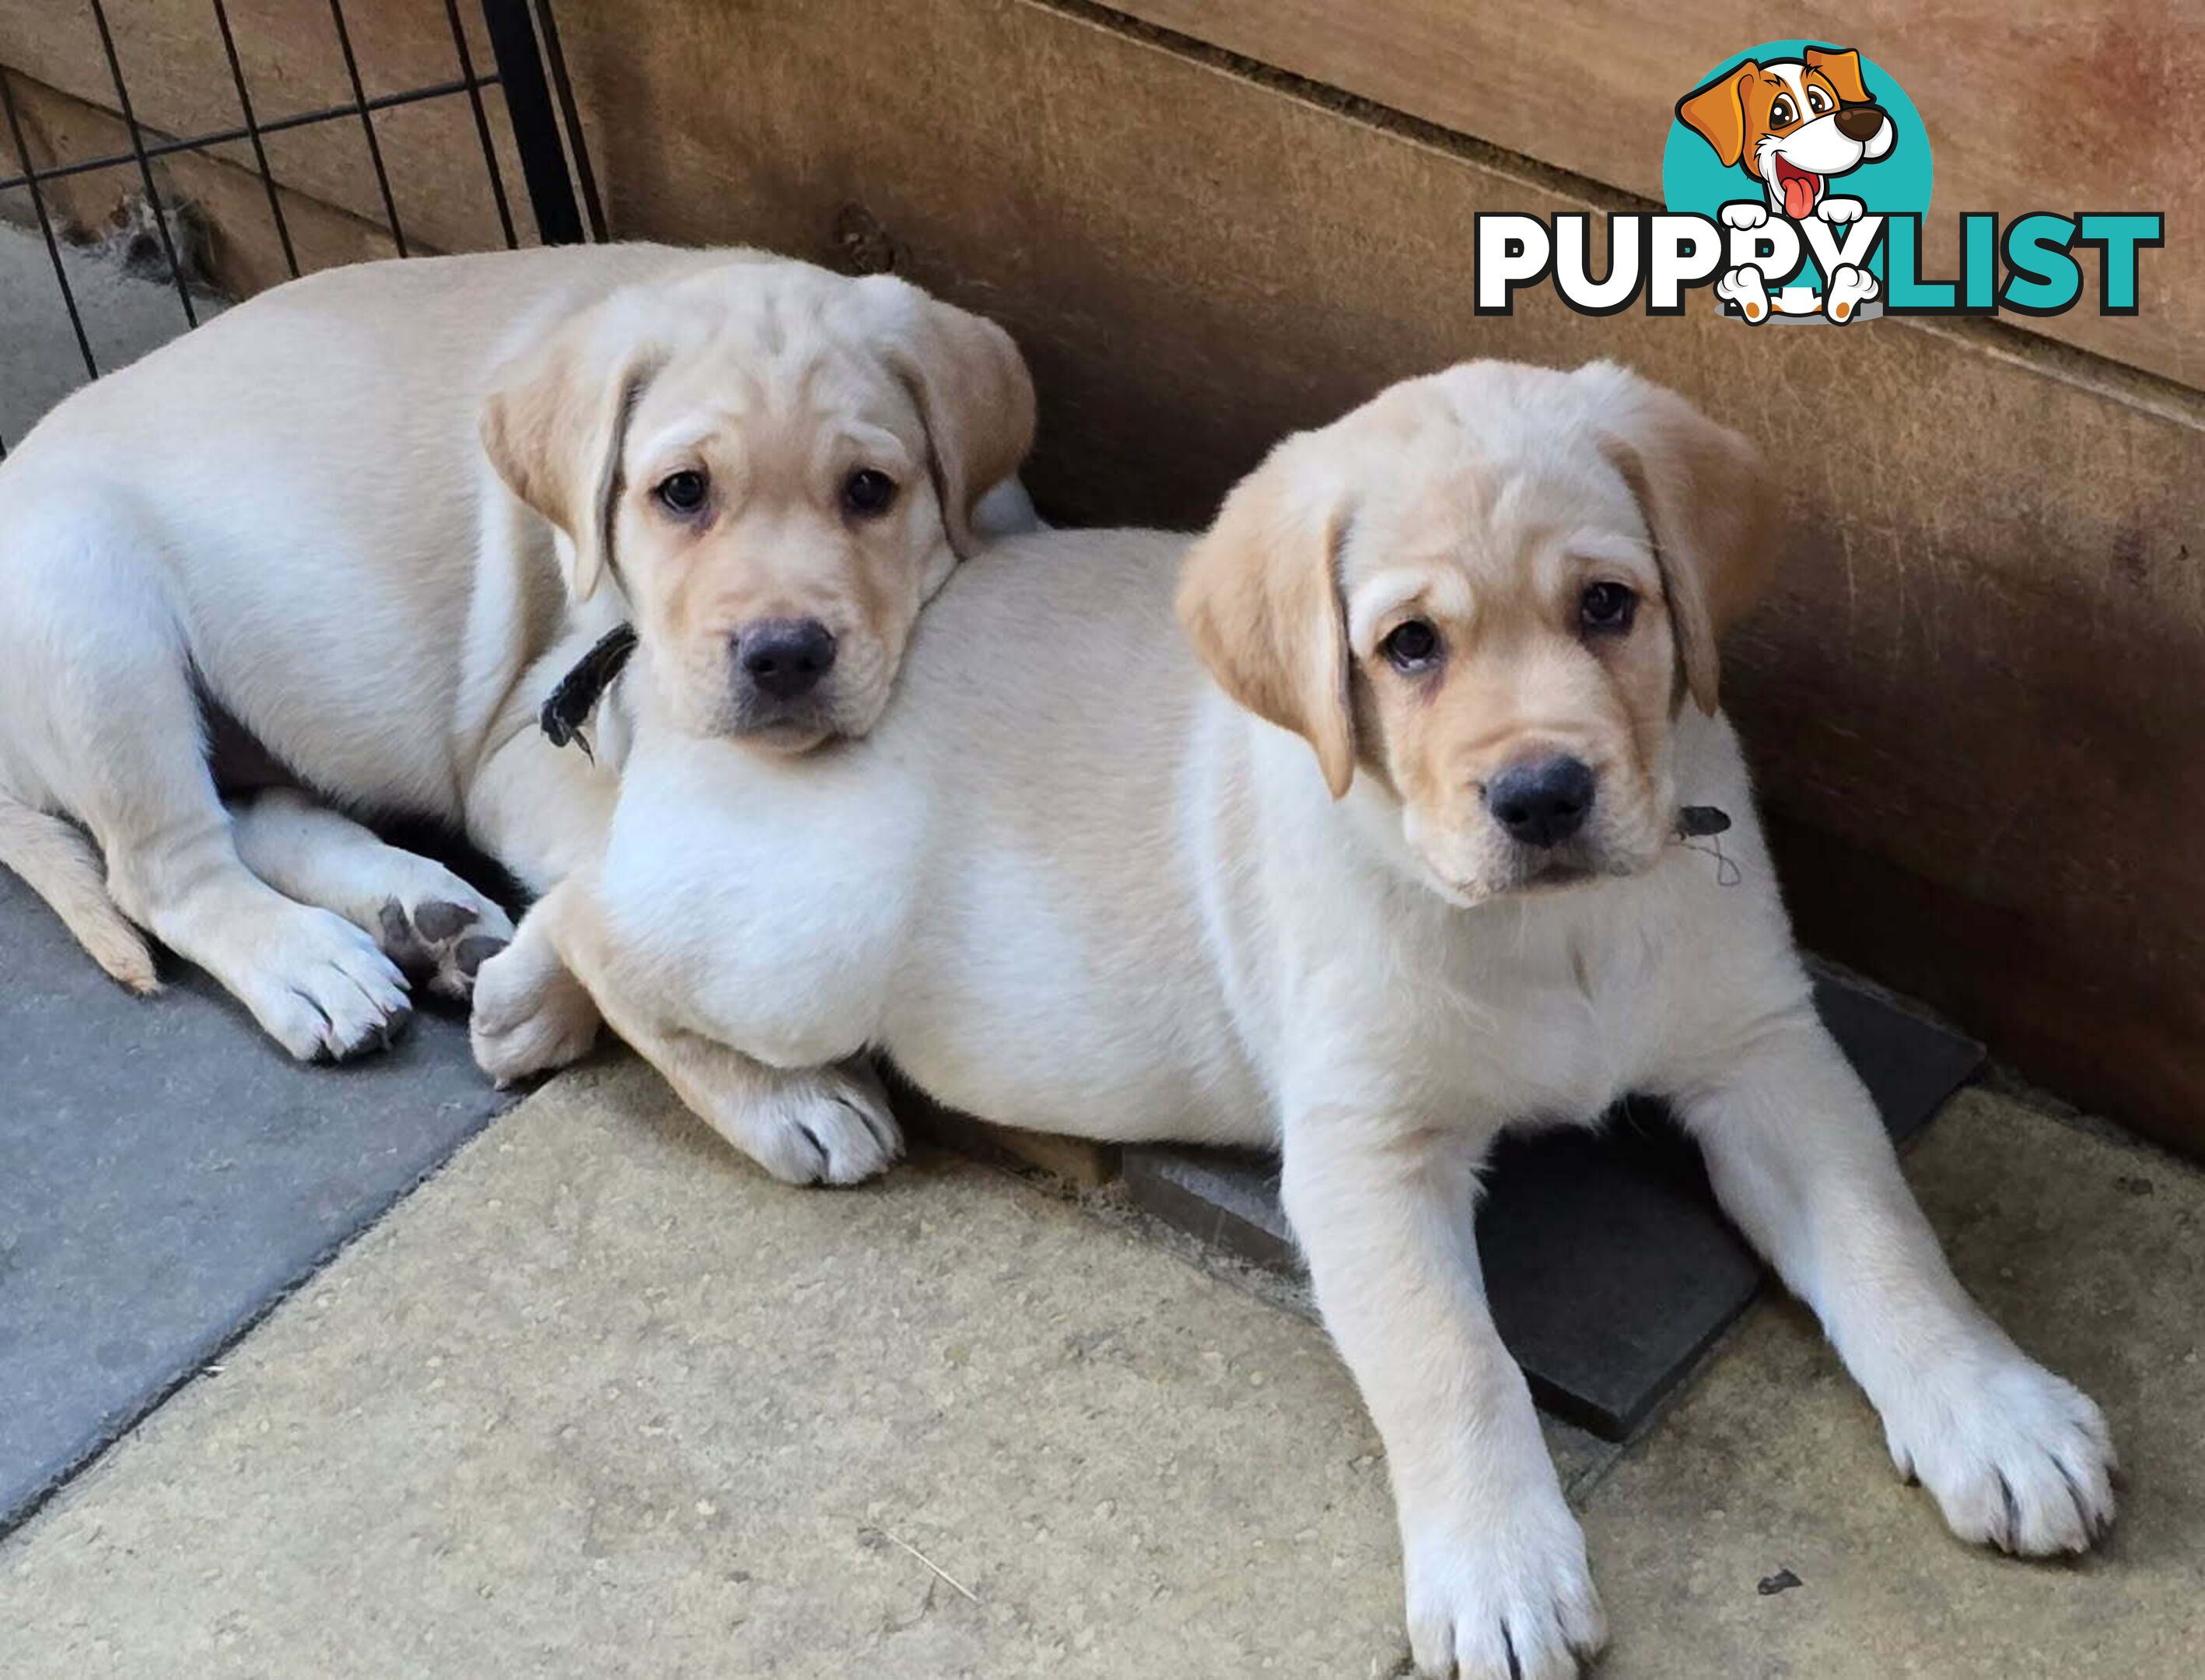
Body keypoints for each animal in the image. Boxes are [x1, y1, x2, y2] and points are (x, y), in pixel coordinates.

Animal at [478, 359, 2116, 1666]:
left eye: (1609, 606)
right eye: (1409, 647)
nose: (1544, 795)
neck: (1554, 931)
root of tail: (688, 674)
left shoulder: (1764, 1052)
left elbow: (1886, 1240)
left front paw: (1995, 1413)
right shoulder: (1363, 1152)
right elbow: (1452, 1363)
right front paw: (1499, 1571)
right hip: (806, 940)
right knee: (606, 923)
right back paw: (737, 1083)